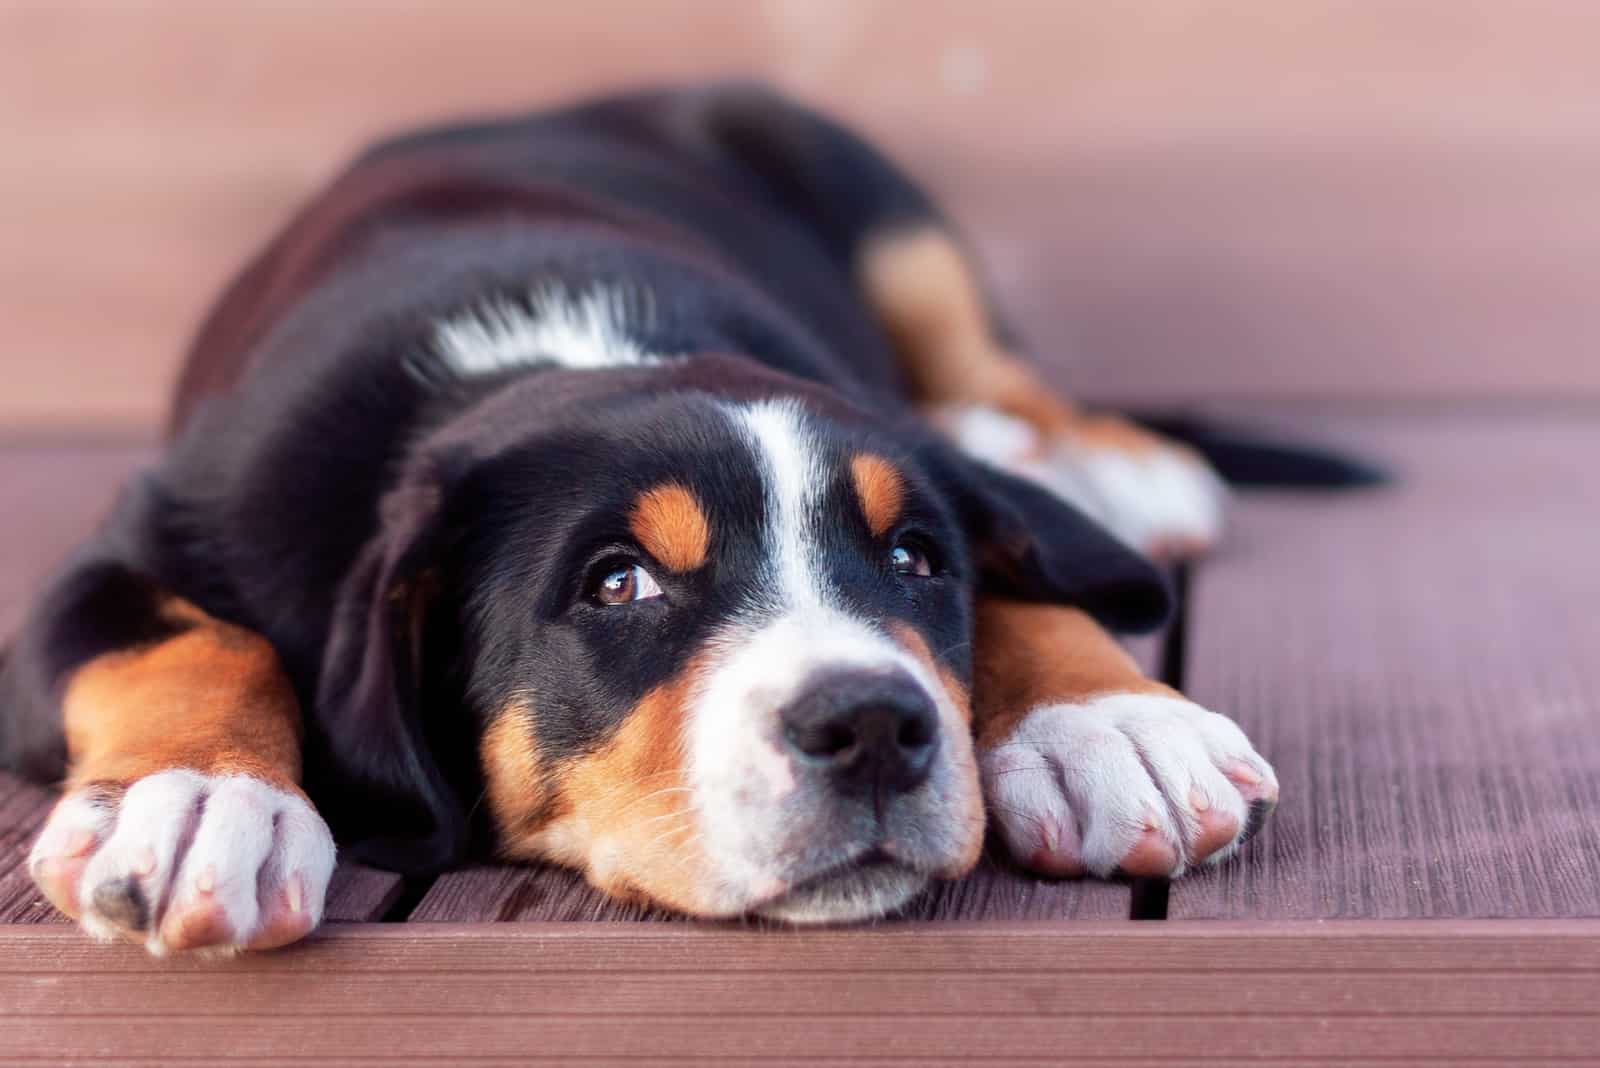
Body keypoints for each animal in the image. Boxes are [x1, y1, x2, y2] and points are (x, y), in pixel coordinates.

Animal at [0, 83, 1350, 952]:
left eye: (914, 558)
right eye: (618, 584)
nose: (872, 727)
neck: (560, 346)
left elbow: (1018, 574)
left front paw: (1113, 724)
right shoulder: (138, 540)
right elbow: (191, 644)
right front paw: (199, 803)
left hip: (874, 201)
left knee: (988, 361)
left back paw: (1095, 463)